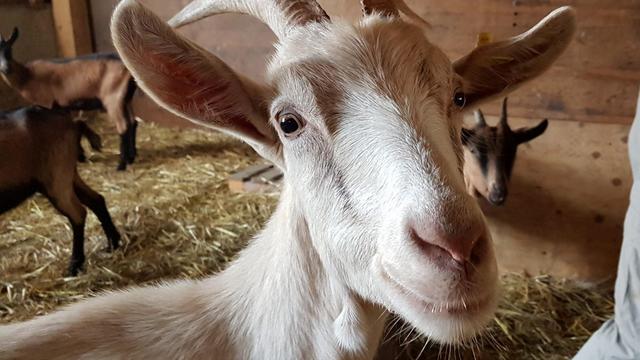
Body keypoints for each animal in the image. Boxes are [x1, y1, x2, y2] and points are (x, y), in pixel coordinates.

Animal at [0, 27, 138, 171]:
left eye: (9, 51)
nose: (6, 68)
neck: (27, 76)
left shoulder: (47, 104)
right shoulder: (62, 105)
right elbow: (74, 125)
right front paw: (81, 154)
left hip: (113, 98)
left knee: (123, 126)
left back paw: (121, 164)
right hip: (125, 98)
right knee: (133, 122)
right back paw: (131, 157)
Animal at [0, 105, 121, 274]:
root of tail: (73, 123)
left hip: (56, 177)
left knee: (78, 213)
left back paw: (75, 265)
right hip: (67, 175)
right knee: (96, 199)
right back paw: (113, 243)